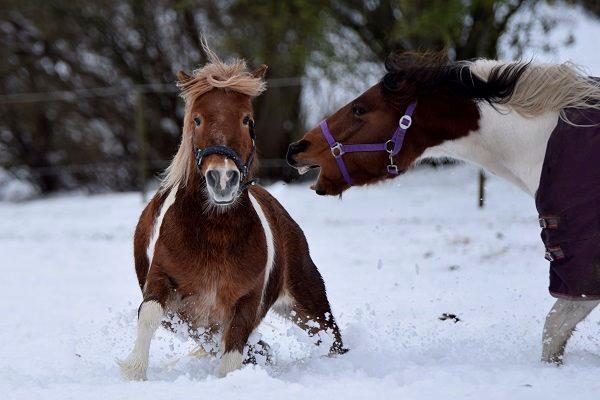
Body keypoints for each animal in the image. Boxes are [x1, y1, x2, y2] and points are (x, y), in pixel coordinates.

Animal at [119, 47, 344, 382]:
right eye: (197, 119)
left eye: (247, 119)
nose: (223, 179)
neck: (214, 234)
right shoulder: (162, 284)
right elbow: (148, 315)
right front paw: (134, 372)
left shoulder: (246, 301)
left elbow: (233, 353)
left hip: (306, 300)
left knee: (331, 336)